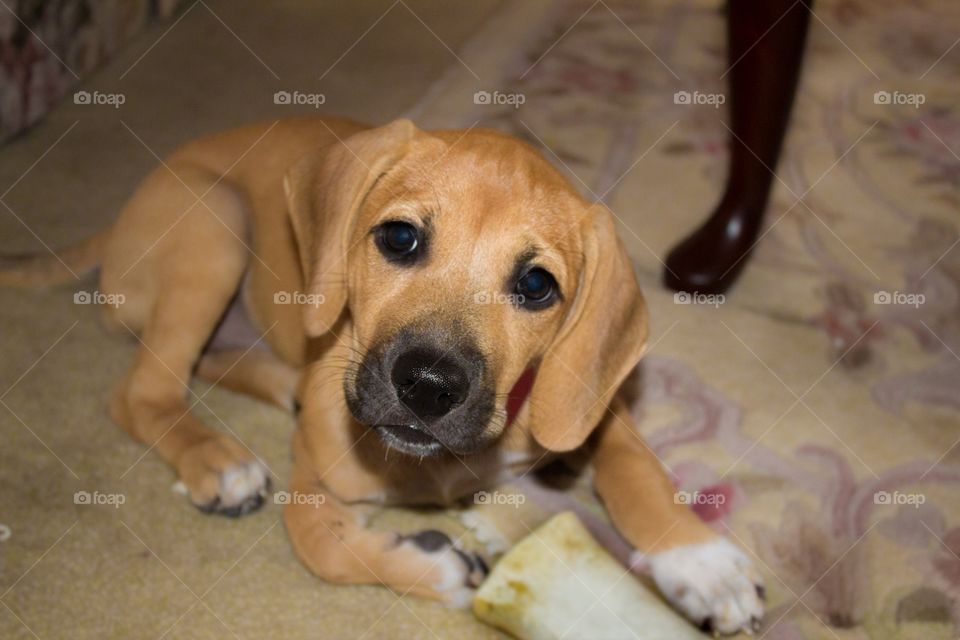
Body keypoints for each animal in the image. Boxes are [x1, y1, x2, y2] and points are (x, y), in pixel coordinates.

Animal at [1, 117, 764, 632]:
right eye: (400, 237)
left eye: (537, 285)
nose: (427, 387)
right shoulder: (316, 488)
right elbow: (323, 546)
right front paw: (433, 564)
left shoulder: (588, 404)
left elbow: (637, 469)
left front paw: (702, 563)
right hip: (215, 224)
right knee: (142, 392)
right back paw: (217, 460)